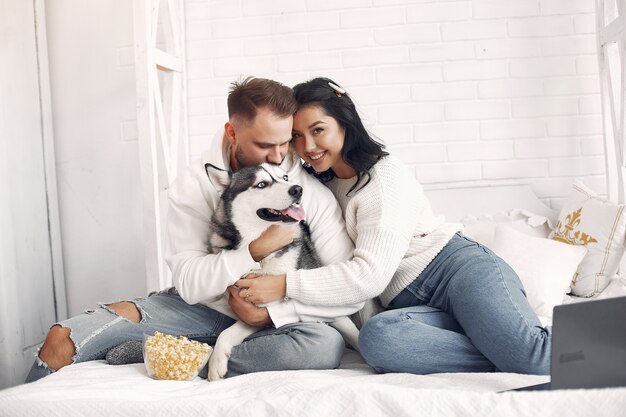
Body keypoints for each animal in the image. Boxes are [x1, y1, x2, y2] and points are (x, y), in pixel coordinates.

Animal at [206, 162, 356, 380]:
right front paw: (216, 361)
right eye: (261, 184)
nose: (298, 189)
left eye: (284, 177)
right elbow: (226, 333)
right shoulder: (250, 310)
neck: (262, 258)